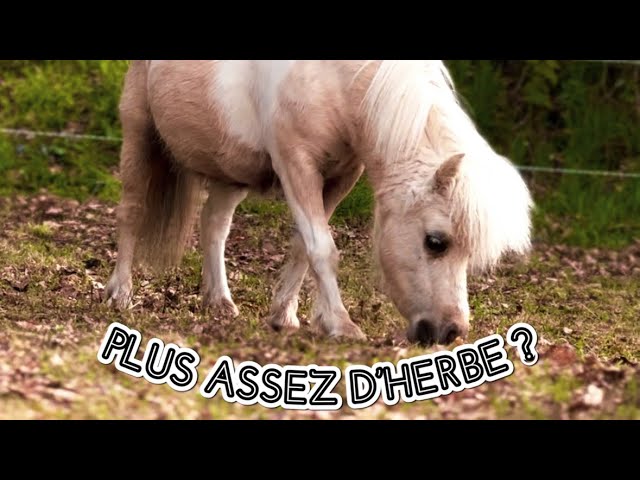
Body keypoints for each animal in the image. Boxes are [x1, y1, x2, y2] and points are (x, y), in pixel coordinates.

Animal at [104, 60, 533, 347]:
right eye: (436, 242)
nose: (450, 332)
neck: (336, 78)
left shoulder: (342, 176)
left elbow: (302, 246)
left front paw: (285, 316)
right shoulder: (297, 166)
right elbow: (322, 248)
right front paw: (341, 324)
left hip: (231, 172)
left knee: (214, 226)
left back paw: (220, 302)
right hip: (139, 133)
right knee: (132, 213)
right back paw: (120, 294)